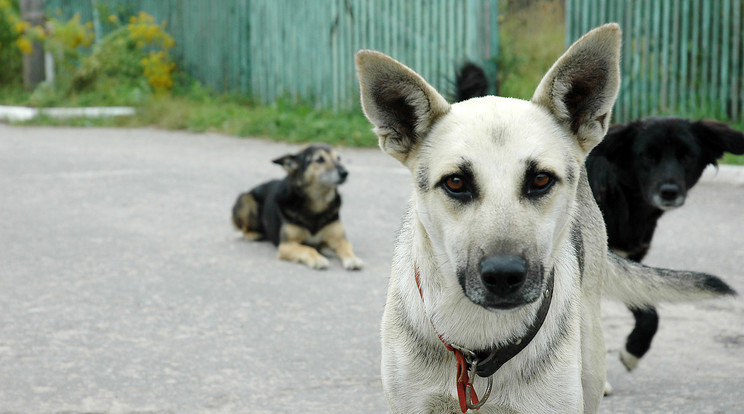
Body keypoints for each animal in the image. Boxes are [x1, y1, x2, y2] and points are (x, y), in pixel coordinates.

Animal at [231, 144, 362, 270]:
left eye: (338, 158)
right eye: (319, 159)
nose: (345, 173)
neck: (317, 204)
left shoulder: (339, 239)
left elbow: (346, 247)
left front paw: (353, 259)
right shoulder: (286, 245)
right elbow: (308, 248)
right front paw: (317, 259)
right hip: (246, 200)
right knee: (244, 227)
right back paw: (252, 234)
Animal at [588, 118, 744, 370]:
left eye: (687, 155)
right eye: (647, 155)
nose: (669, 192)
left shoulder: (627, 267)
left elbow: (649, 313)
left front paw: (634, 350)